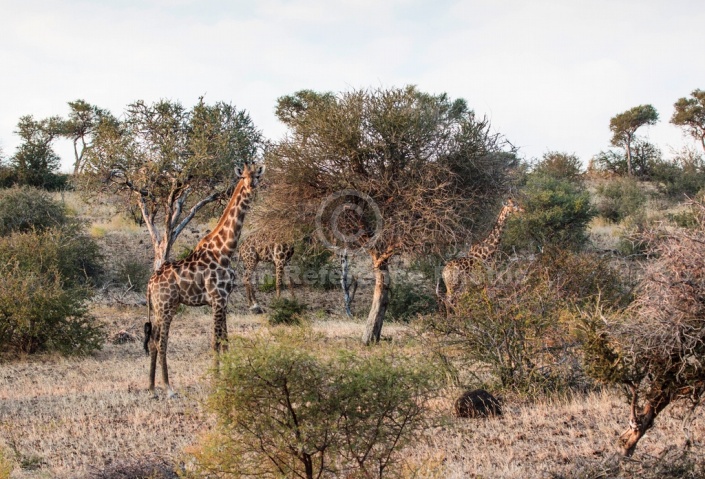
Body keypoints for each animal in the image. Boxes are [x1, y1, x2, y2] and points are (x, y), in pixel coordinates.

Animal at [143, 163, 264, 400]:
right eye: (243, 176)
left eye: (257, 175)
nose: (250, 186)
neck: (225, 250)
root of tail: (150, 284)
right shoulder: (217, 298)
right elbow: (215, 342)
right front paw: (217, 380)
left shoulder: (224, 300)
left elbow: (225, 340)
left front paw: (230, 375)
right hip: (166, 306)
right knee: (161, 343)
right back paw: (168, 388)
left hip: (160, 308)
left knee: (152, 341)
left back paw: (152, 389)